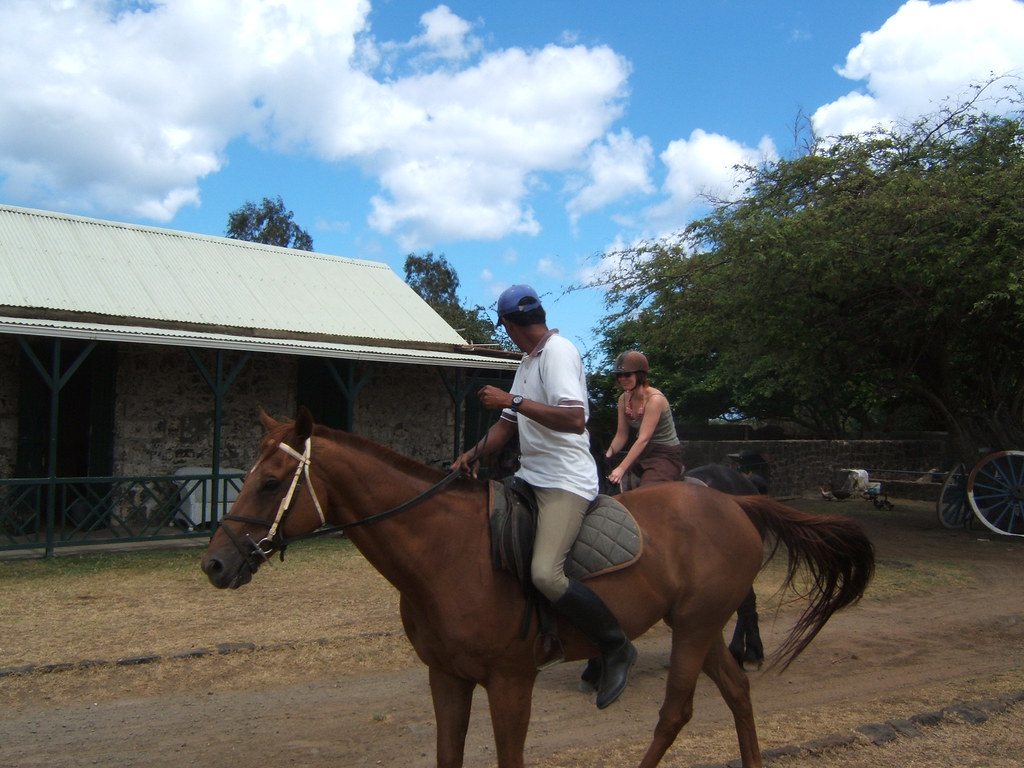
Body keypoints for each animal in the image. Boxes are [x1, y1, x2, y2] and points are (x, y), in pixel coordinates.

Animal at [201, 409, 874, 768]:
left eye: (271, 482)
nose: (214, 564)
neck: (447, 553)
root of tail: (735, 500)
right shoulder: (446, 679)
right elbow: (448, 755)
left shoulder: (509, 681)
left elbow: (509, 757)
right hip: (698, 626)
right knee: (735, 692)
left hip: (696, 628)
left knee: (676, 711)